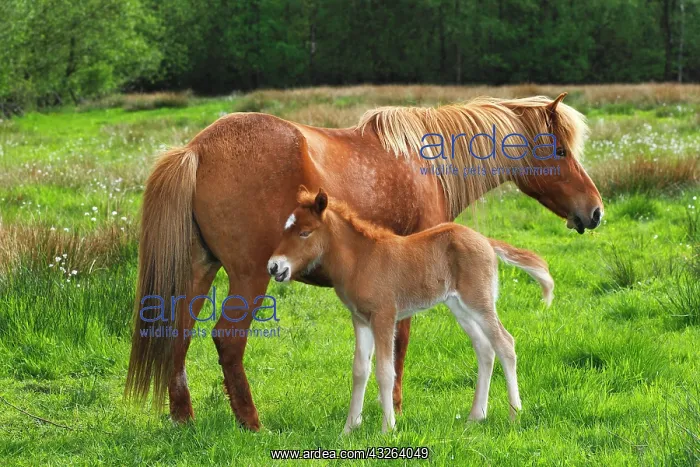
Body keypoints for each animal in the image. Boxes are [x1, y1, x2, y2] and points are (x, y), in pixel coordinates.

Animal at [268, 186, 554, 433]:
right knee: (485, 348)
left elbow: (385, 371)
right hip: (459, 307)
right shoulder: (360, 319)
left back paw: (515, 414)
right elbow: (360, 370)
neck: (360, 260)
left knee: (505, 343)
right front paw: (348, 430)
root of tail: (485, 240)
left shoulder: (384, 316)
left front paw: (387, 428)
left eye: (305, 232)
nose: (274, 266)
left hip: (479, 302)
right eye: (285, 229)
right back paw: (475, 417)